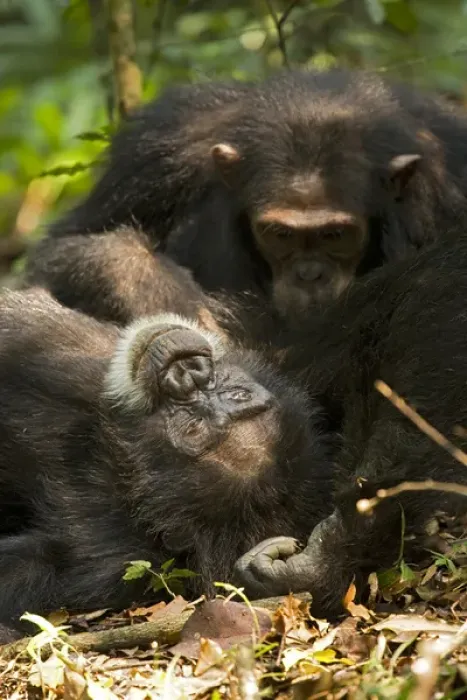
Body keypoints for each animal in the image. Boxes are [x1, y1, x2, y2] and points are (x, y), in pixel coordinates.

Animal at [26, 68, 467, 324]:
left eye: (336, 235)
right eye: (280, 235)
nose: (309, 275)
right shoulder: (160, 147)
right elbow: (73, 241)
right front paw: (150, 290)